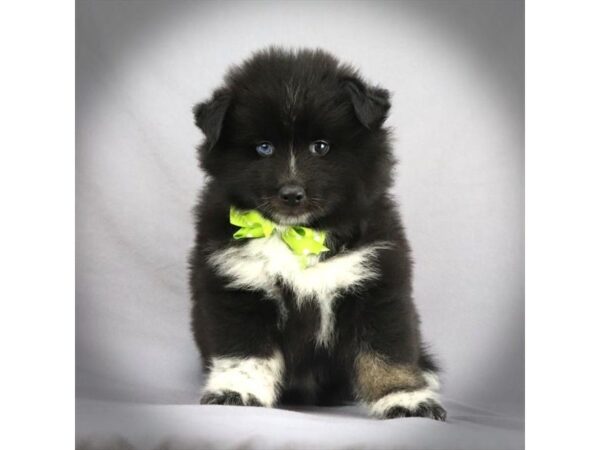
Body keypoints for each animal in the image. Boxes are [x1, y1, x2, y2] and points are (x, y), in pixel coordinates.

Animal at [190, 47, 448, 420]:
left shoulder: (375, 285)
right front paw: (237, 392)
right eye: (264, 147)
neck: (297, 233)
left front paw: (405, 399)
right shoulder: (238, 287)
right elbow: (244, 352)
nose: (291, 194)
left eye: (321, 147)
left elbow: (387, 353)